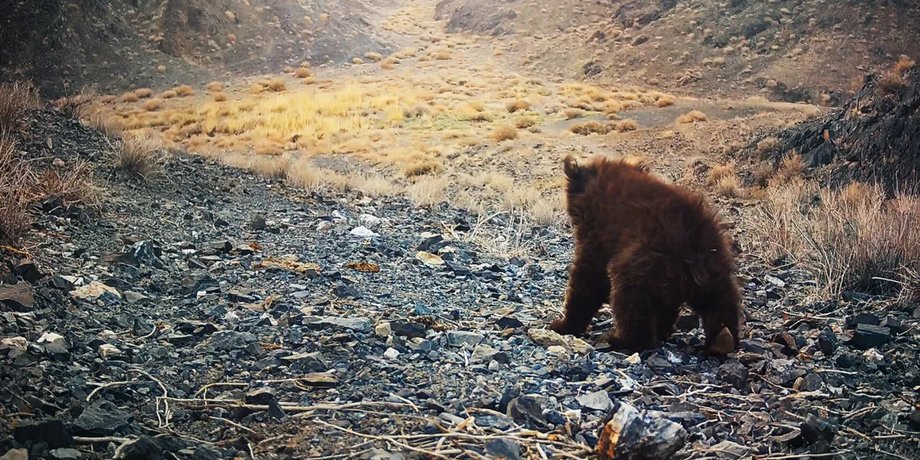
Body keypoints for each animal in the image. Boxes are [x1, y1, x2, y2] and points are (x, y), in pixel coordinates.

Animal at [550, 155, 743, 354]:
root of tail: (693, 238)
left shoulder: (600, 234)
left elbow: (589, 277)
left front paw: (563, 324)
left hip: (647, 257)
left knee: (630, 293)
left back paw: (622, 340)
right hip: (712, 264)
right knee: (719, 300)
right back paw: (721, 340)